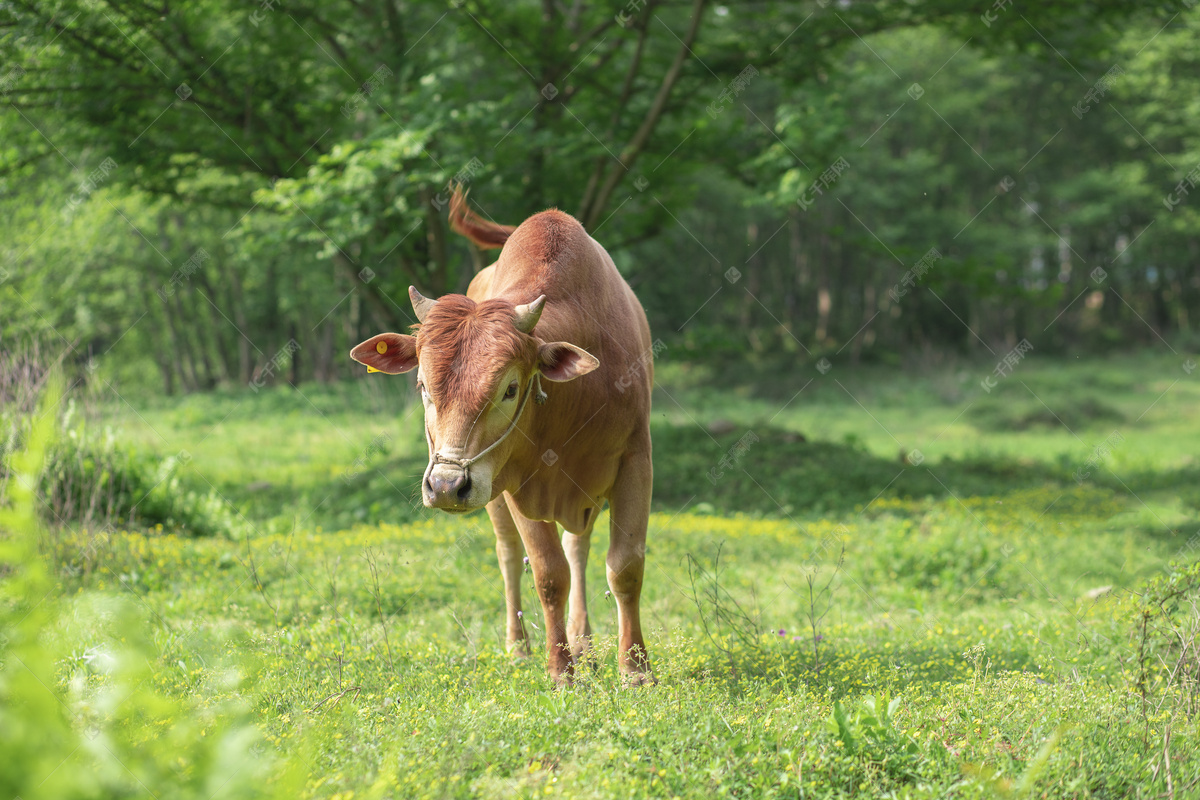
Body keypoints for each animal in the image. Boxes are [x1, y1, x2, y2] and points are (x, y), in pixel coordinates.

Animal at [348, 189, 657, 690]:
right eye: (422, 386)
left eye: (510, 388)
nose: (447, 486)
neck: (571, 406)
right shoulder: (514, 483)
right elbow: (548, 575)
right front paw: (560, 669)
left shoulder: (636, 460)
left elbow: (624, 565)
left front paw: (636, 668)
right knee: (510, 556)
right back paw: (520, 646)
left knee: (579, 548)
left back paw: (585, 642)